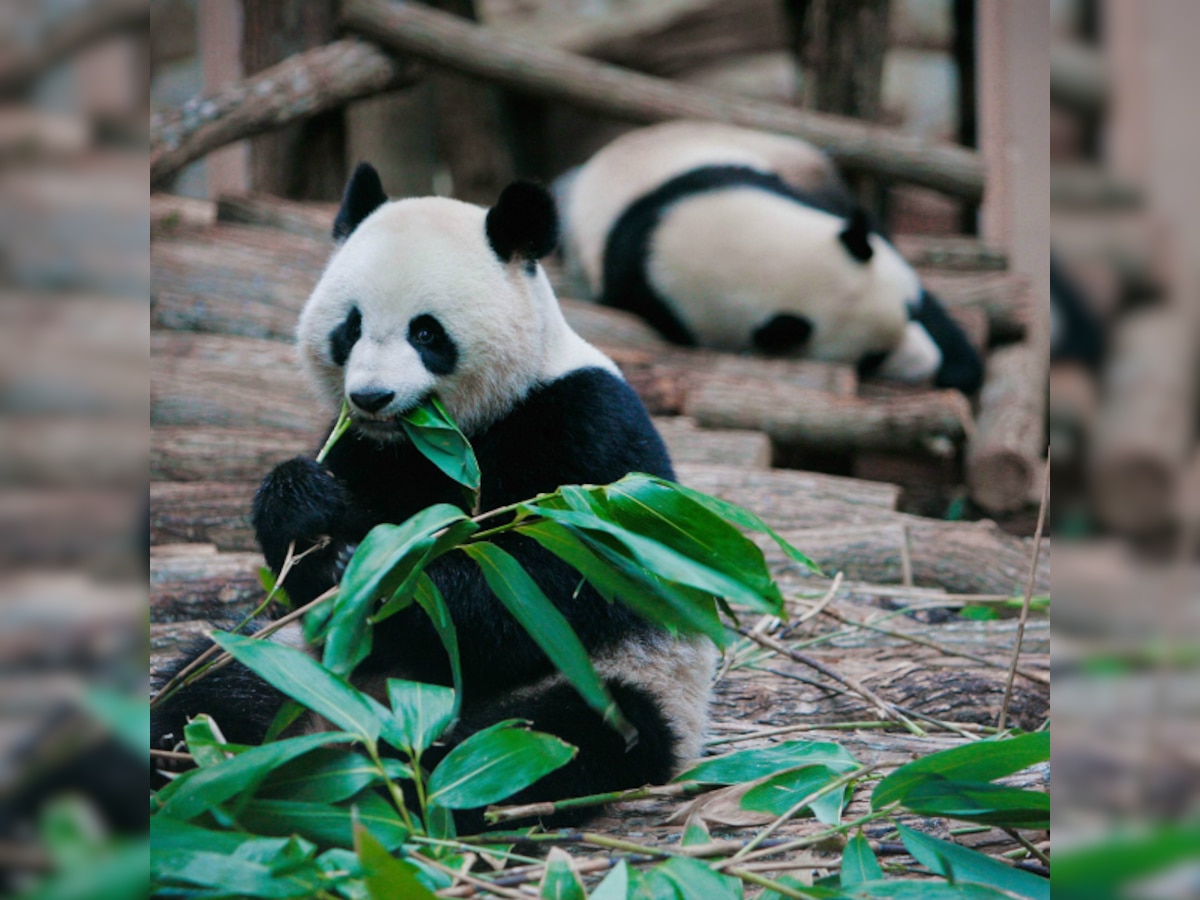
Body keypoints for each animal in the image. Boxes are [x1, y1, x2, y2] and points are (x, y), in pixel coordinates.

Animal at [148, 164, 710, 830]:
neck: (445, 431)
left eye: (425, 332)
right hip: (292, 663)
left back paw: (407, 773)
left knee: (552, 733)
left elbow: (553, 577)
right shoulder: (367, 449)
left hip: (620, 679)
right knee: (212, 689)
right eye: (350, 327)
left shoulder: (587, 430)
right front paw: (311, 517)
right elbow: (308, 556)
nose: (372, 396)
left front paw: (384, 586)